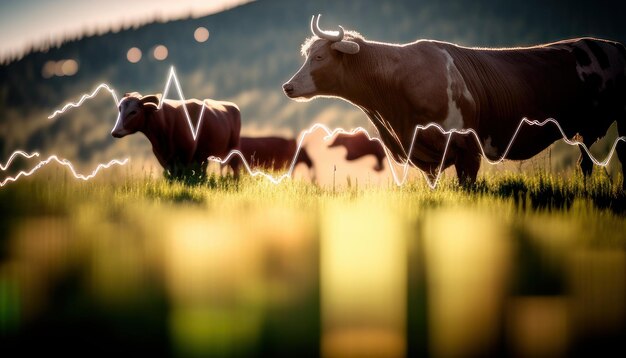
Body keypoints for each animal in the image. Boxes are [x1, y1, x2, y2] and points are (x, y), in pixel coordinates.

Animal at [111, 92, 240, 179]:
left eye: (133, 112)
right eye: (120, 109)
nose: (115, 131)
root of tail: (232, 106)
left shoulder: (187, 154)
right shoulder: (163, 157)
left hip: (233, 149)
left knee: (234, 167)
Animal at [282, 14, 624, 187]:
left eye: (320, 57)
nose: (287, 86)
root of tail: (611, 44)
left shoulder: (466, 146)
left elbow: (467, 184)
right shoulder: (424, 154)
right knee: (586, 163)